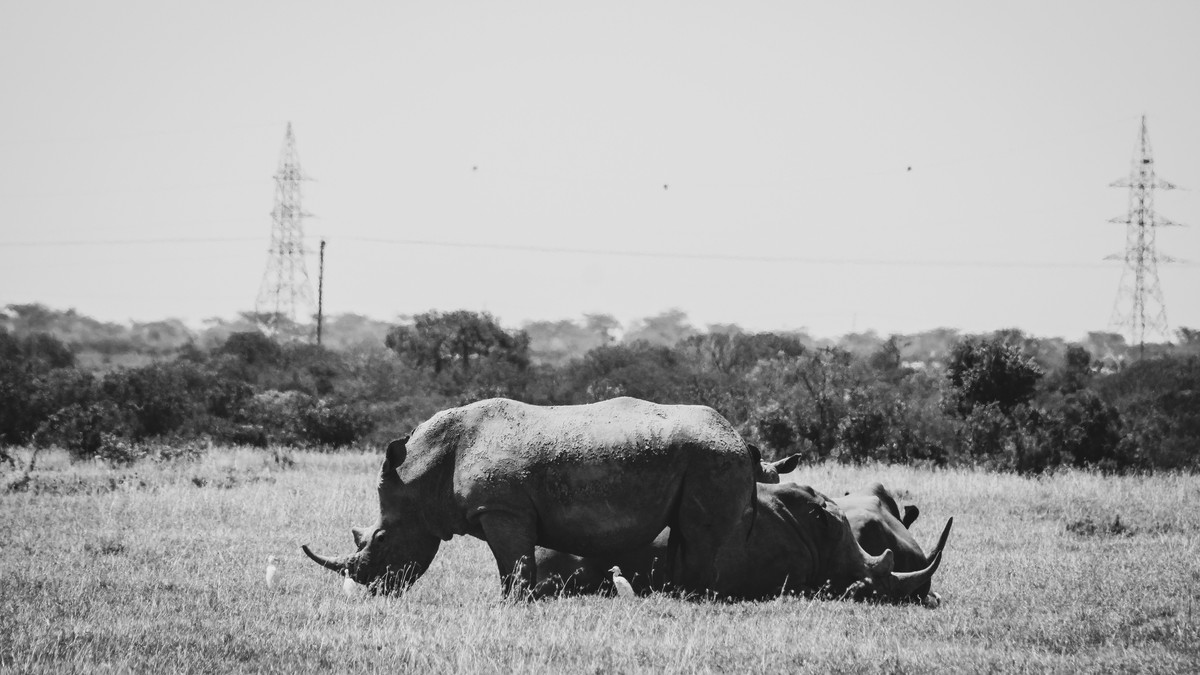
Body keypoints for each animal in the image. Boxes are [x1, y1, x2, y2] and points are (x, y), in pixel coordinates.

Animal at [302, 397, 757, 597]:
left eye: (380, 539)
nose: (372, 589)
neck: (423, 474)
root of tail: (738, 437)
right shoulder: (500, 510)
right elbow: (510, 565)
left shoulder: (502, 509)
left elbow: (515, 563)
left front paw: (512, 605)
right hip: (701, 460)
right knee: (684, 534)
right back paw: (680, 597)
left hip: (713, 459)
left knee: (698, 537)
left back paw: (693, 599)